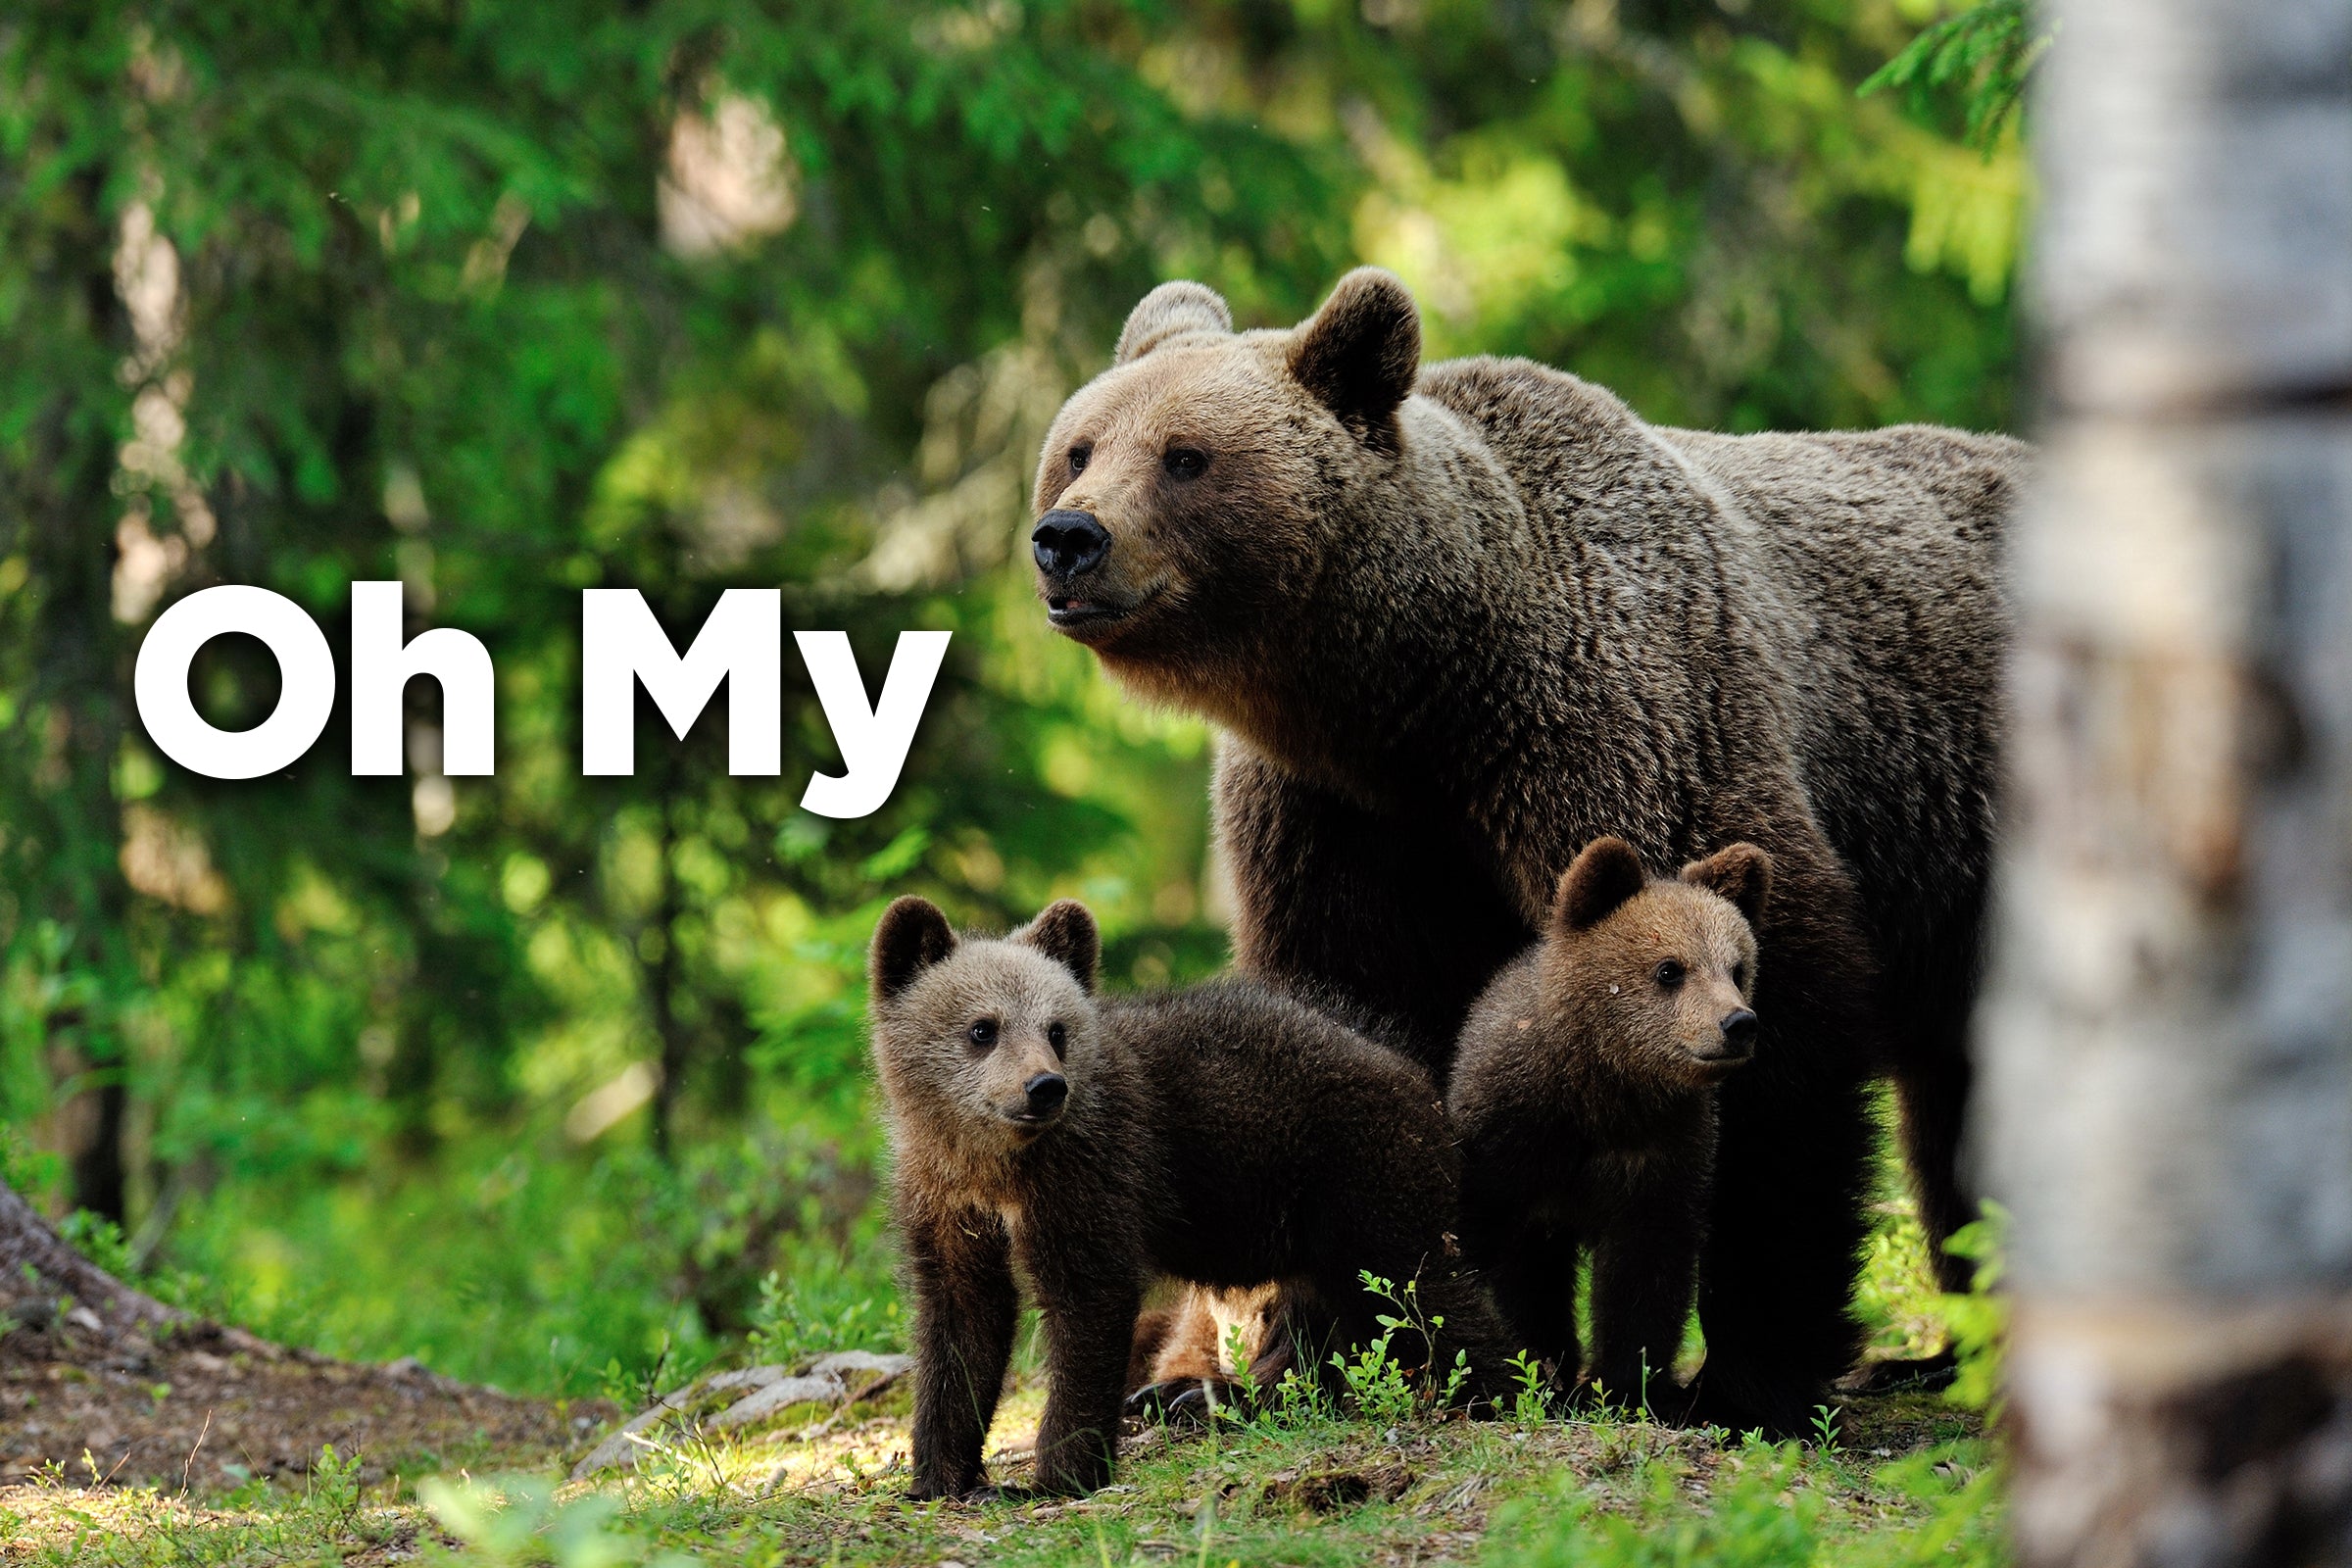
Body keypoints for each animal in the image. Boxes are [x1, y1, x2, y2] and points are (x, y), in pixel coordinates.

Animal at [1030, 270, 2023, 1439]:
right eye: (1081, 445)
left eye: (1186, 456)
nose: (1068, 537)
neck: (1413, 700)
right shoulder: (1339, 828)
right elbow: (1347, 1044)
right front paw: (1279, 1364)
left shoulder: (1626, 730)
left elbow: (1775, 1056)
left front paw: (1747, 1377)